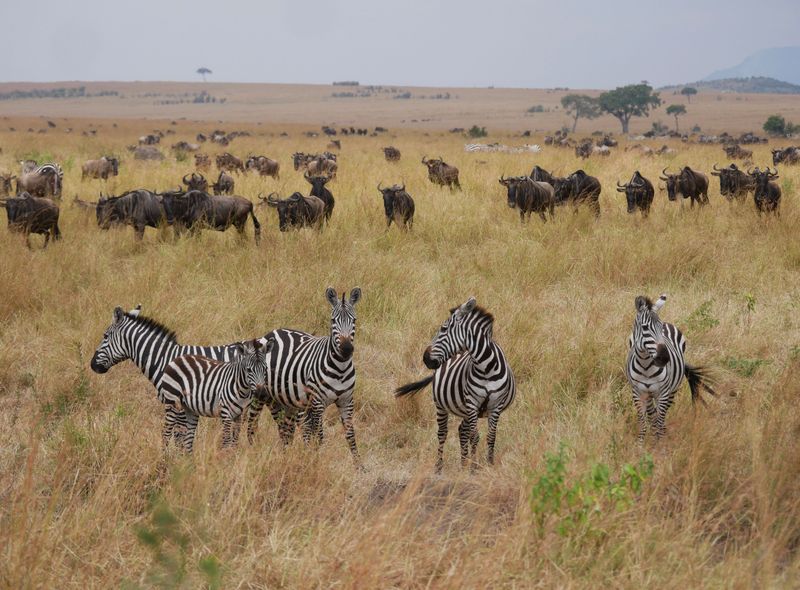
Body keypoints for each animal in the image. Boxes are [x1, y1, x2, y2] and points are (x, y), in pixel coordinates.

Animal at [90, 305, 250, 447]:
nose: (92, 365)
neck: (164, 359)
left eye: (105, 336)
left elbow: (178, 436)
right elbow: (183, 436)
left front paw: (176, 460)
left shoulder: (177, 403)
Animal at [245, 287, 362, 462]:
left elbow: (350, 436)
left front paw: (359, 465)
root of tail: (272, 332)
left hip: (288, 400)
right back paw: (253, 453)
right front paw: (316, 461)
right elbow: (319, 436)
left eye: (354, 320)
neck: (340, 369)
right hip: (260, 395)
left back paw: (286, 455)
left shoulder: (346, 401)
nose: (346, 349)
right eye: (333, 321)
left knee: (286, 430)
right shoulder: (318, 402)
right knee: (253, 424)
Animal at [395, 297, 516, 472]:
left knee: (462, 431)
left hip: (465, 409)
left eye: (444, 328)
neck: (486, 367)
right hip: (442, 404)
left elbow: (491, 436)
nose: (425, 358)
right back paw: (440, 467)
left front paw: (489, 465)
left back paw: (463, 463)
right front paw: (474, 468)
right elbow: (475, 436)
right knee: (443, 433)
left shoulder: (496, 405)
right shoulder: (472, 402)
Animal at [625, 294, 716, 442]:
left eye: (660, 327)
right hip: (650, 394)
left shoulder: (663, 393)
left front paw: (658, 442)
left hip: (672, 390)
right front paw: (641, 443)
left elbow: (660, 419)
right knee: (652, 415)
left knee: (661, 415)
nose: (664, 357)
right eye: (644, 327)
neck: (645, 366)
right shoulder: (638, 393)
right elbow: (643, 421)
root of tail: (668, 323)